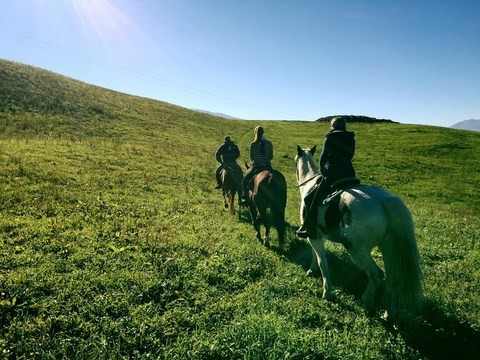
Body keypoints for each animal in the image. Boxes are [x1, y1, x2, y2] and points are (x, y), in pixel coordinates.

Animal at [294, 146, 422, 326]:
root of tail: (386, 200)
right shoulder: (317, 236)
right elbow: (315, 255)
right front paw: (312, 271)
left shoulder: (314, 235)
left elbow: (322, 262)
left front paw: (326, 291)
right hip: (389, 248)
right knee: (393, 278)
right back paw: (388, 313)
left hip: (357, 250)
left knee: (377, 274)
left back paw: (367, 302)